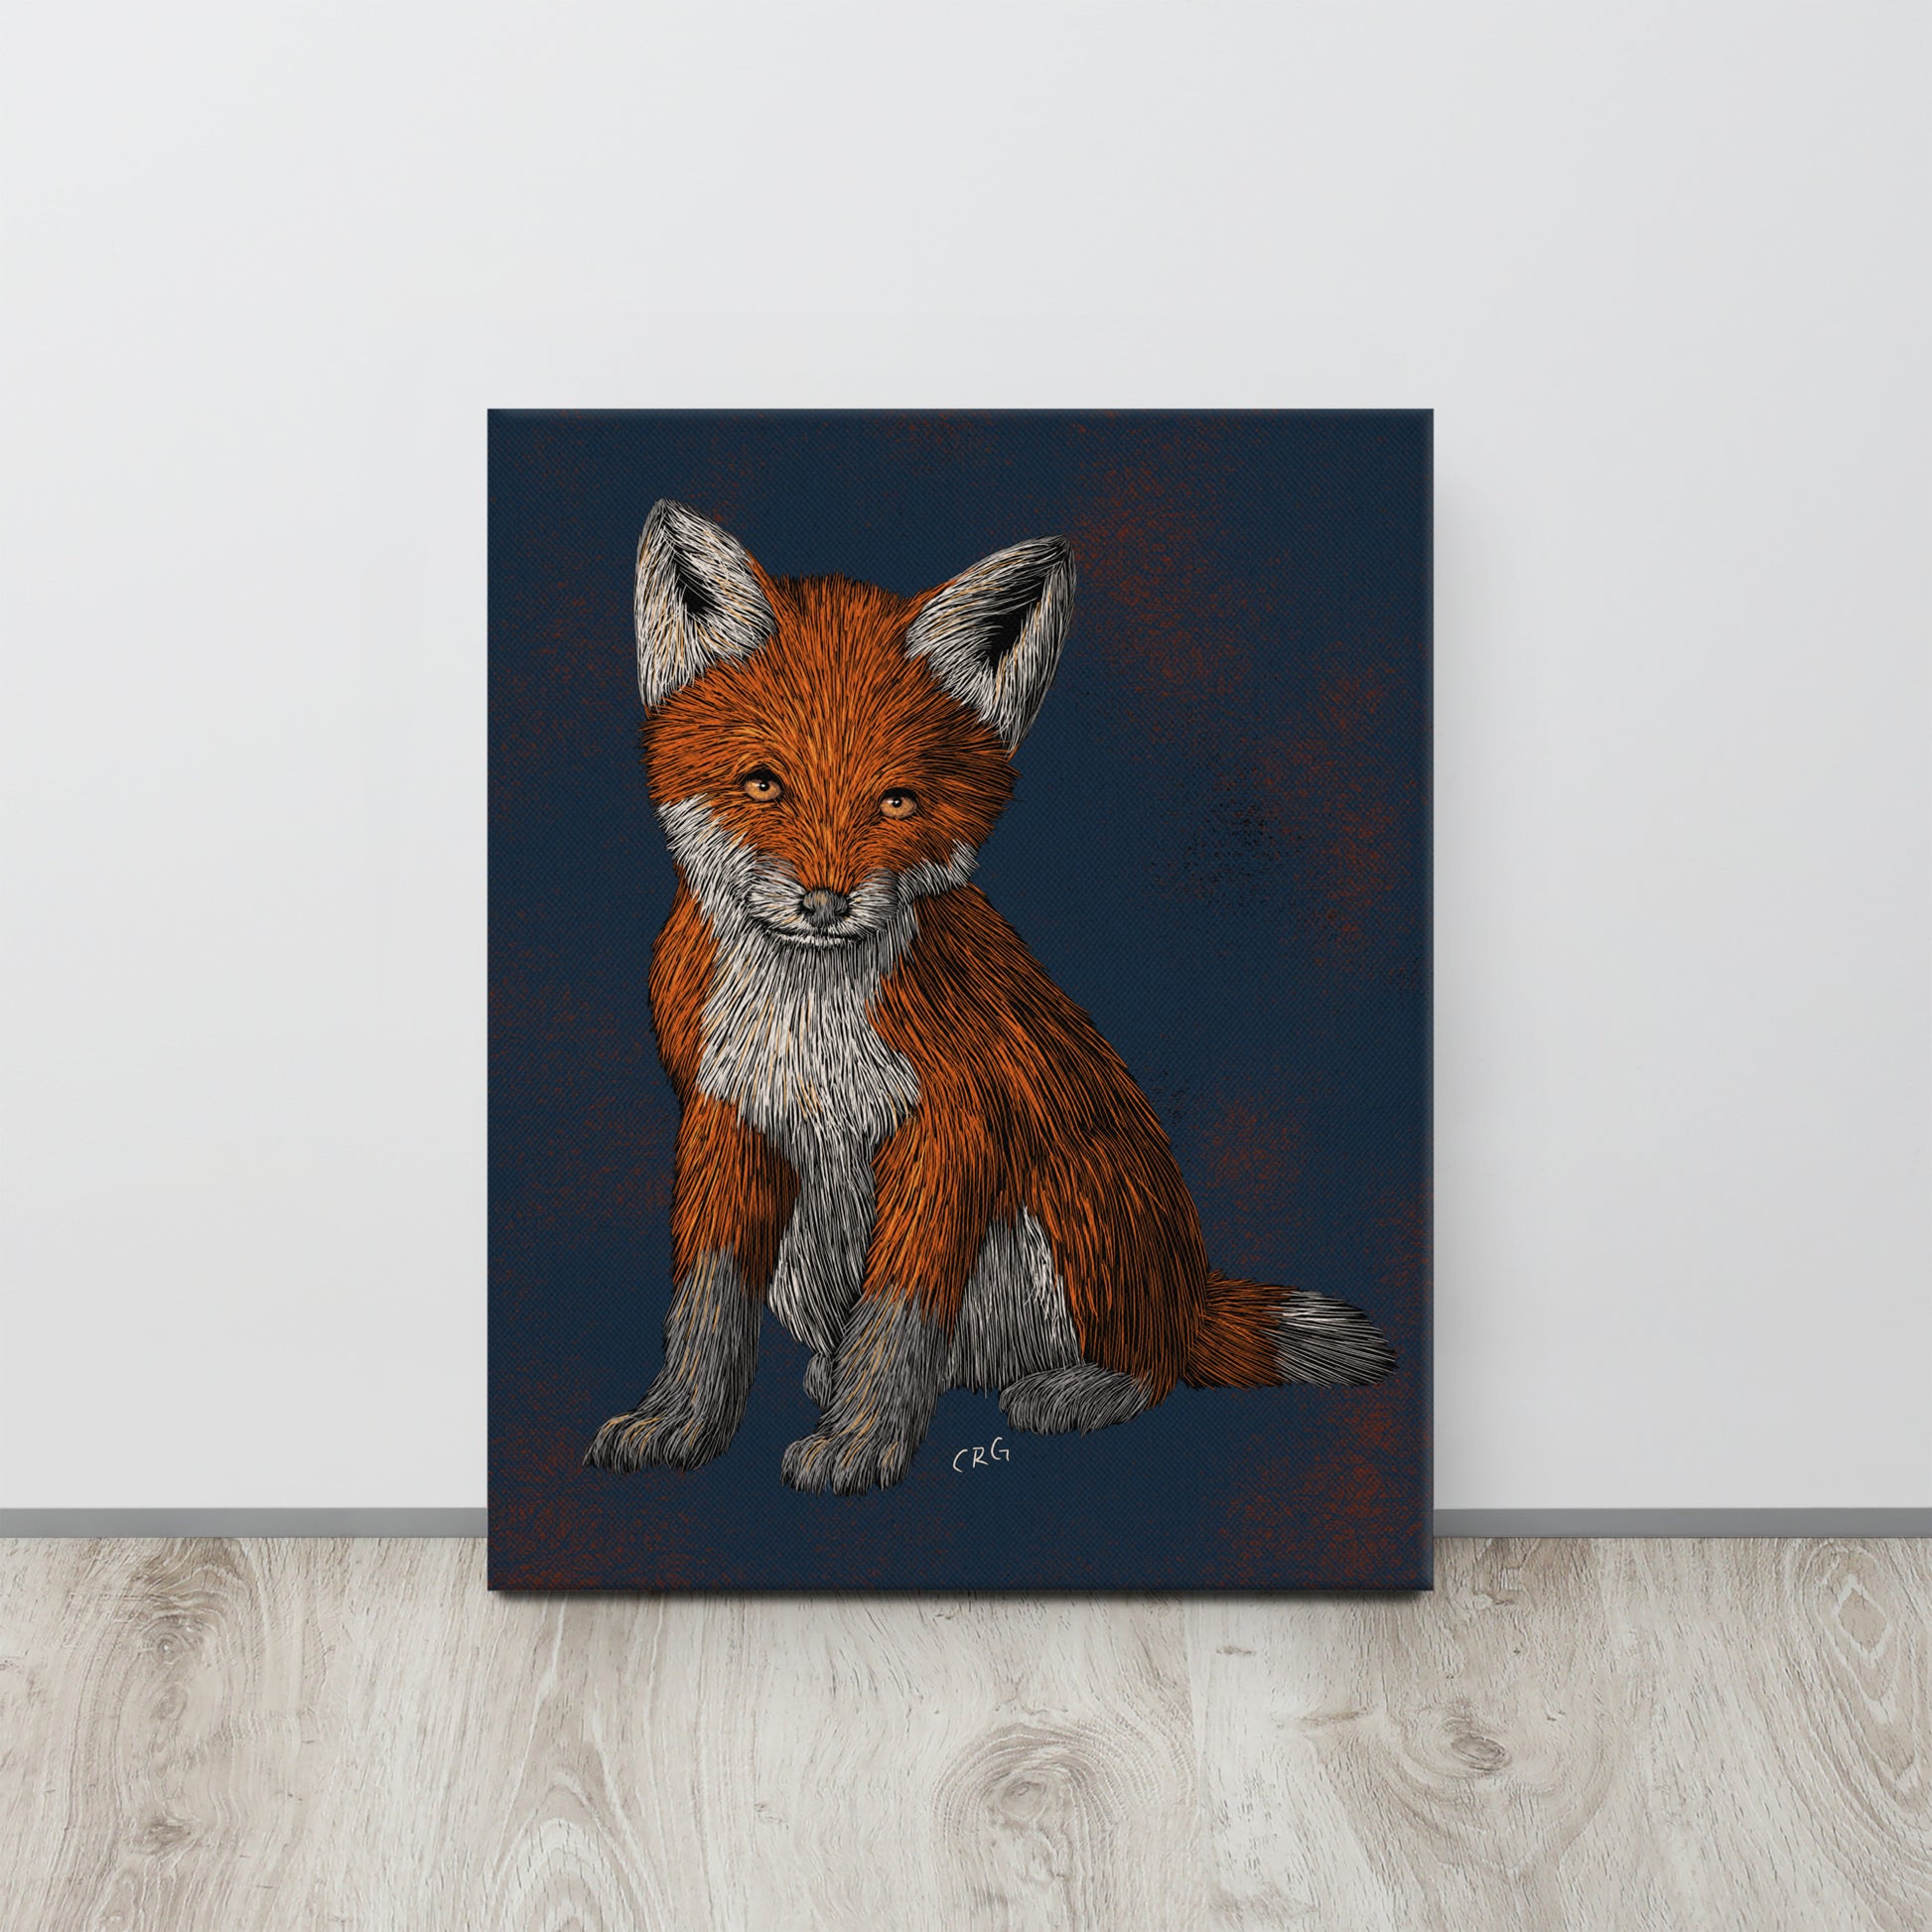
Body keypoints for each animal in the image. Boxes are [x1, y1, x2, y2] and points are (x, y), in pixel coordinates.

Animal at [584, 500, 1395, 1496]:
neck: (807, 1023)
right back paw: (836, 1372)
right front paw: (680, 1421)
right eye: (763, 783)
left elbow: (898, 1314)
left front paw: (862, 1442)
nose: (825, 903)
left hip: (1079, 1208)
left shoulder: (955, 1127)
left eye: (897, 802)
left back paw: (1077, 1387)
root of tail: (1190, 1290)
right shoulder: (724, 1113)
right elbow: (705, 1302)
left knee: (1153, 1366)